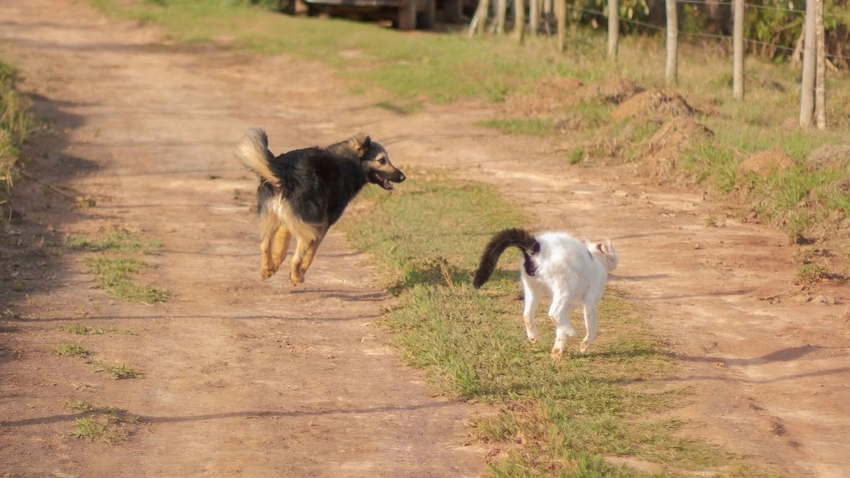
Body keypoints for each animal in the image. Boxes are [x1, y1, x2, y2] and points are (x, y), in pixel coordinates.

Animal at [232, 127, 404, 286]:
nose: (403, 177)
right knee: (296, 258)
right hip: (310, 223)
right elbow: (310, 255)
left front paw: (272, 268)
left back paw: (266, 268)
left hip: (272, 216)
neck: (351, 162)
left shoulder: (288, 221)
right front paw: (295, 274)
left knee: (264, 245)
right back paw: (298, 276)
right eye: (382, 160)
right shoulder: (322, 225)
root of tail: (284, 172)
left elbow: (280, 249)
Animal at [470, 227, 616, 358]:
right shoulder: (590, 301)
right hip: (567, 284)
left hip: (533, 288)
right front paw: (584, 346)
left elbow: (560, 333)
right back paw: (571, 332)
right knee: (553, 313)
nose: (615, 261)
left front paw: (556, 353)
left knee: (527, 314)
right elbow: (592, 327)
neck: (598, 261)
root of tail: (536, 246)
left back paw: (534, 336)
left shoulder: (569, 307)